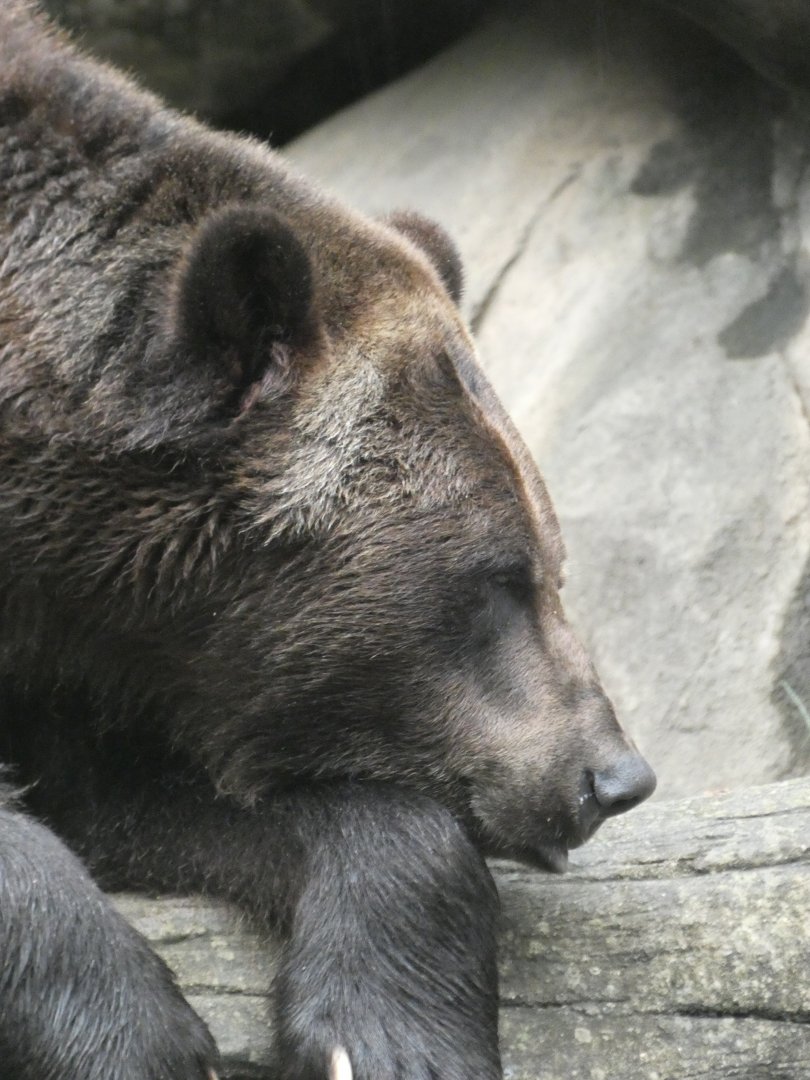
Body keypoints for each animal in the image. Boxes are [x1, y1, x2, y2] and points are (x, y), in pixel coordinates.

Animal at [0, 3, 656, 1078]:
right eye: (495, 578)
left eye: (553, 566)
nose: (613, 776)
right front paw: (136, 1036)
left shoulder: (102, 668)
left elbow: (171, 794)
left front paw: (392, 1032)